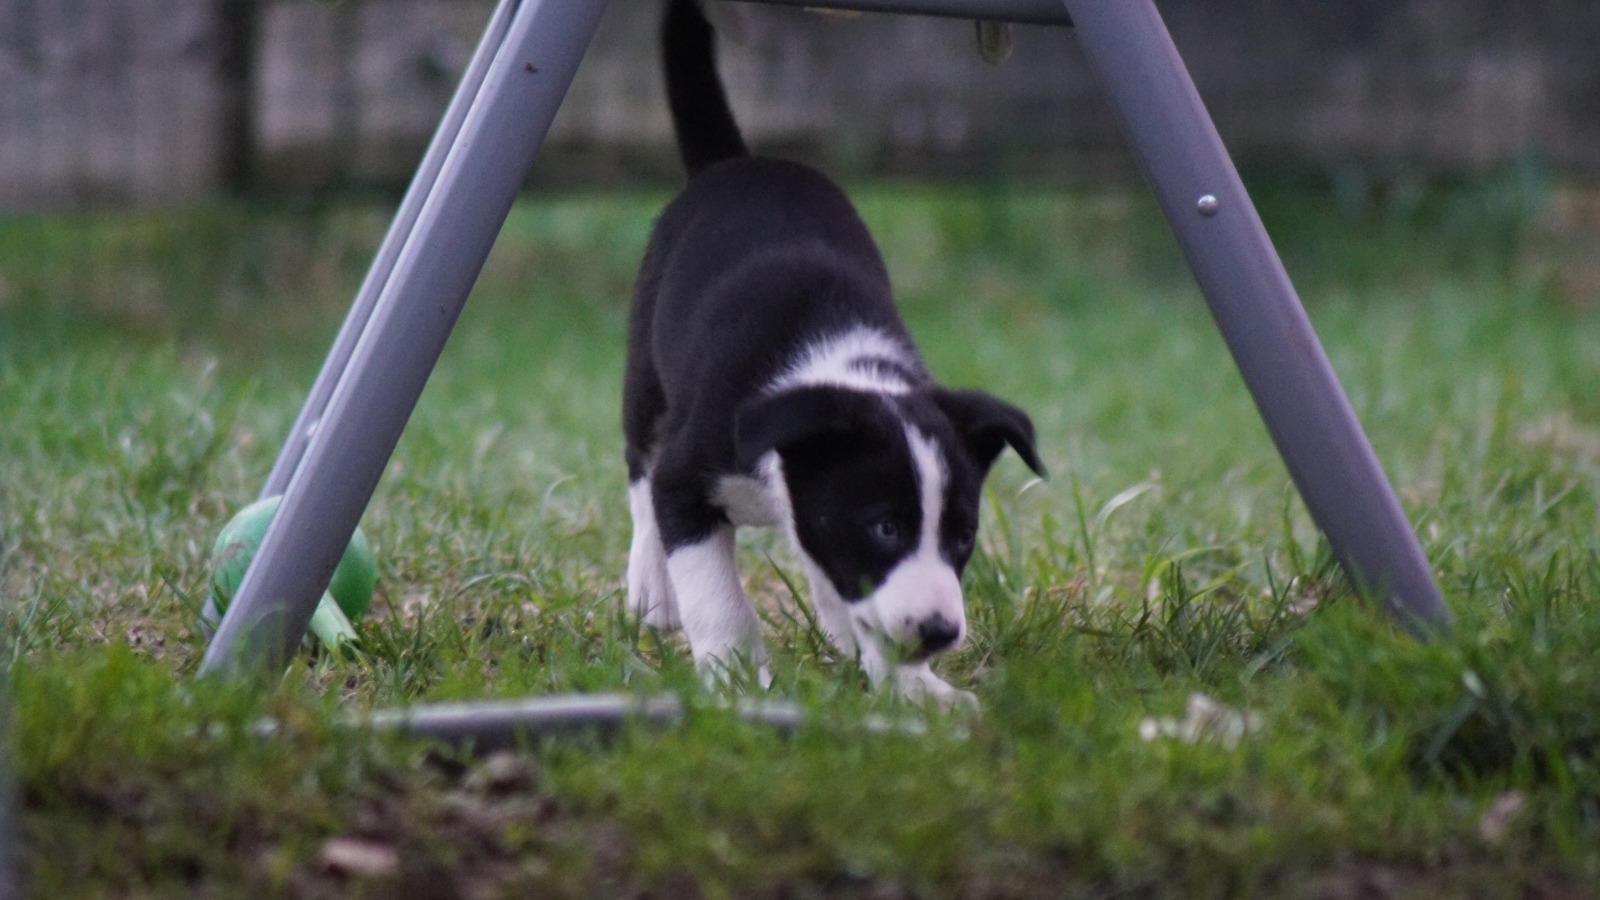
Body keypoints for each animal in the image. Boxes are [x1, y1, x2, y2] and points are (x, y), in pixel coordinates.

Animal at [623, 0, 1046, 707]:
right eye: (885, 528)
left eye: (962, 536)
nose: (939, 634)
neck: (836, 369)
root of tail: (735, 163)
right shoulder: (687, 476)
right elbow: (717, 593)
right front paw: (738, 682)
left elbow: (859, 598)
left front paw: (918, 692)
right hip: (646, 373)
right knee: (638, 465)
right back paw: (651, 587)